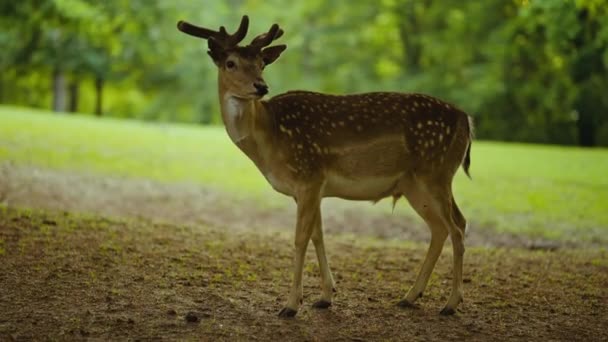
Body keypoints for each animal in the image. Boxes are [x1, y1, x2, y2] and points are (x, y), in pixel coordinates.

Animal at [178, 14, 472, 318]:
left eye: (261, 63)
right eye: (230, 62)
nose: (261, 86)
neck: (270, 138)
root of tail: (467, 119)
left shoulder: (309, 176)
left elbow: (300, 238)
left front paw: (290, 305)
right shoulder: (311, 188)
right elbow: (318, 235)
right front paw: (325, 297)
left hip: (436, 173)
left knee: (457, 226)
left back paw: (450, 303)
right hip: (414, 184)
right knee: (441, 228)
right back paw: (410, 297)